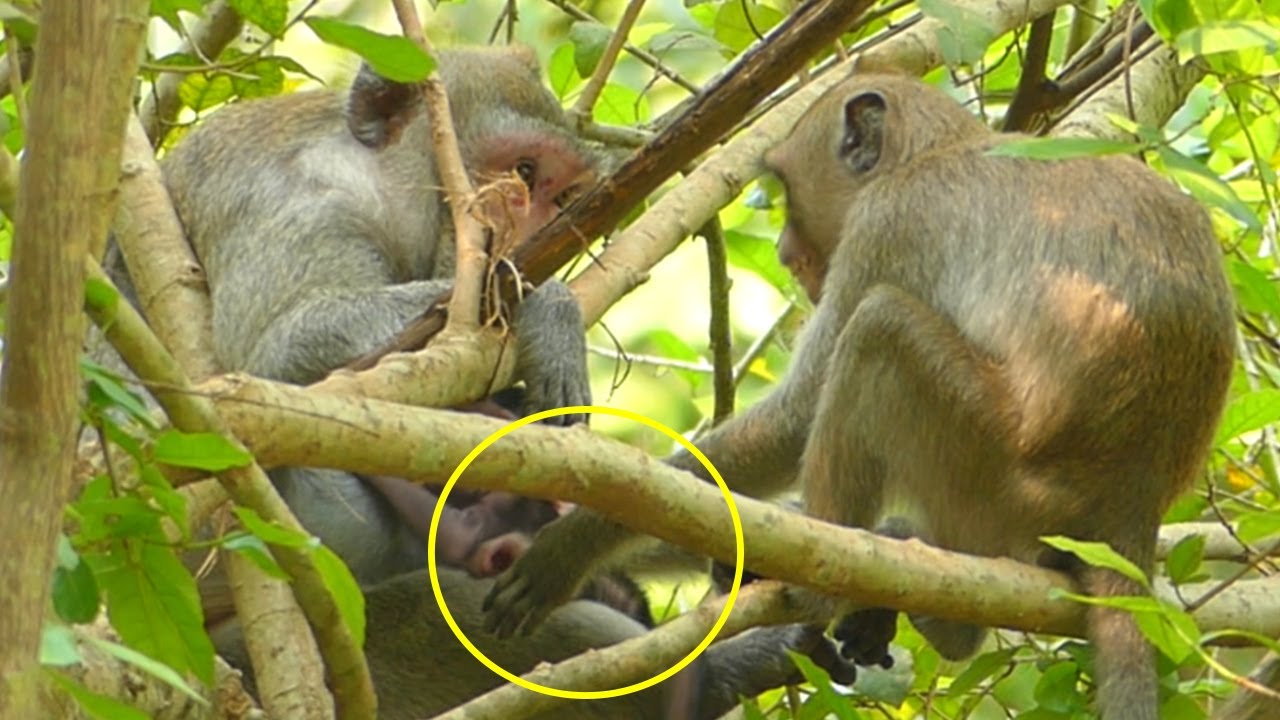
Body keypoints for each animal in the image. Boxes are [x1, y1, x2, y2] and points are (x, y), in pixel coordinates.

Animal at [483, 71, 1235, 720]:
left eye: (787, 189)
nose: (786, 251)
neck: (937, 150)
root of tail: (1128, 509)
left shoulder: (888, 224)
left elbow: (798, 415)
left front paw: (573, 542)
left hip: (997, 478)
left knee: (880, 329)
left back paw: (829, 587)